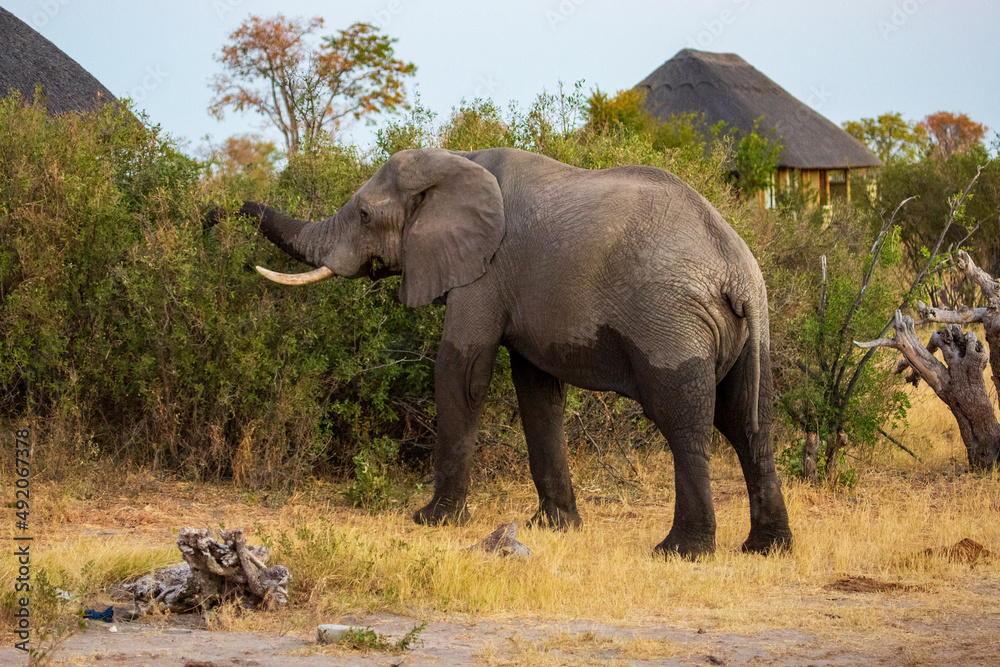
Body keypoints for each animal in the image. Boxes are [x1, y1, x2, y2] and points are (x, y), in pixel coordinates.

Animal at [213, 147, 792, 558]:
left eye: (361, 215)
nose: (216, 212)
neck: (457, 160)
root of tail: (739, 270)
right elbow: (537, 393)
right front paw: (553, 527)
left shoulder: (485, 271)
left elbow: (462, 372)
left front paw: (432, 520)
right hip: (747, 336)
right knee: (748, 424)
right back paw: (766, 550)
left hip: (671, 324)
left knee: (685, 422)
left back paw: (680, 552)